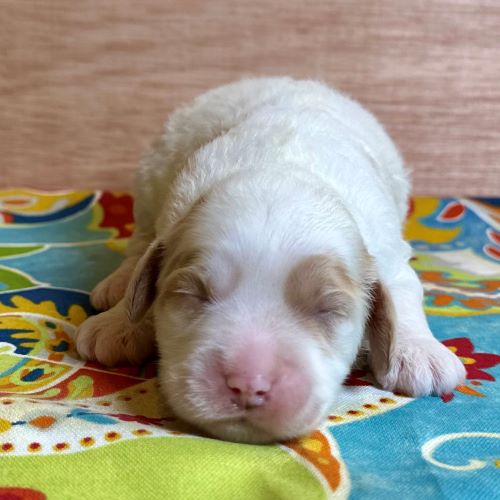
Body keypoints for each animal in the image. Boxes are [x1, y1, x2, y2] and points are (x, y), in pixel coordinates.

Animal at [75, 76, 464, 444]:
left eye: (328, 310)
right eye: (191, 295)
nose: (248, 384)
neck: (280, 168)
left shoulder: (387, 251)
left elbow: (404, 292)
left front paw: (419, 352)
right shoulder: (172, 213)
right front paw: (121, 323)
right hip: (152, 178)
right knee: (139, 244)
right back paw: (117, 291)